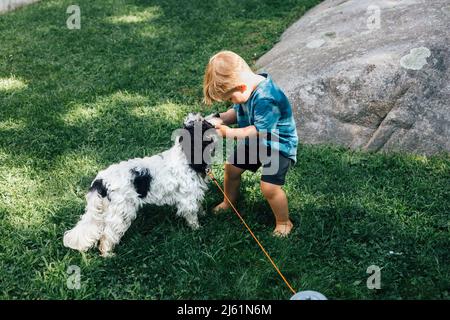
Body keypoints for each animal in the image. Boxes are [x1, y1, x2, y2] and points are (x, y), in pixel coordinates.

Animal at [63, 112, 221, 255]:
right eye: (204, 123)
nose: (218, 114)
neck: (187, 157)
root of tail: (99, 182)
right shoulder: (187, 199)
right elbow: (192, 216)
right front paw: (197, 229)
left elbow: (199, 207)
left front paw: (203, 215)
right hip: (121, 214)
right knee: (107, 236)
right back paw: (108, 254)